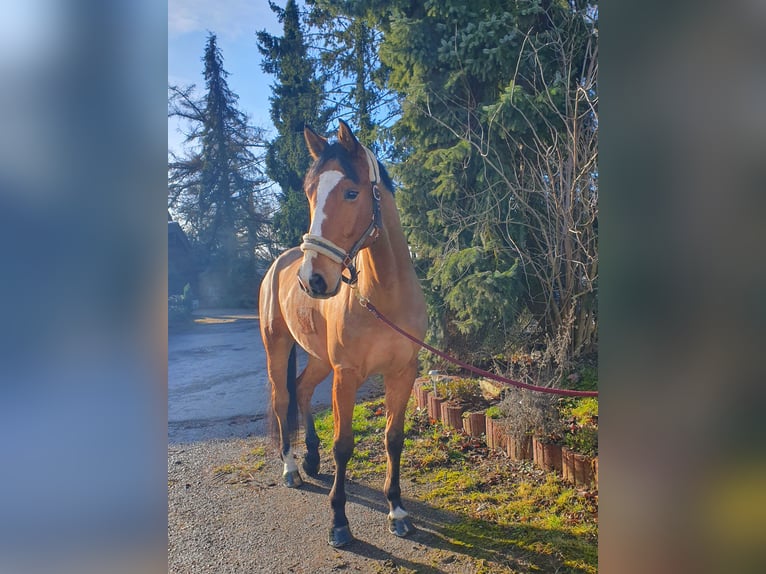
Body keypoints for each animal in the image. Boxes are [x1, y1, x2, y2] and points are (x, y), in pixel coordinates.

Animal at [258, 120, 427, 547]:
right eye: (310, 194)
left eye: (352, 192)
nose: (313, 280)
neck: (383, 298)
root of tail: (279, 264)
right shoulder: (346, 376)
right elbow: (344, 445)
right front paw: (338, 522)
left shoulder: (403, 373)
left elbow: (393, 439)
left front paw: (397, 511)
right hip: (277, 347)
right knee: (283, 398)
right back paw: (291, 469)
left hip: (319, 358)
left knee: (301, 388)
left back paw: (310, 459)